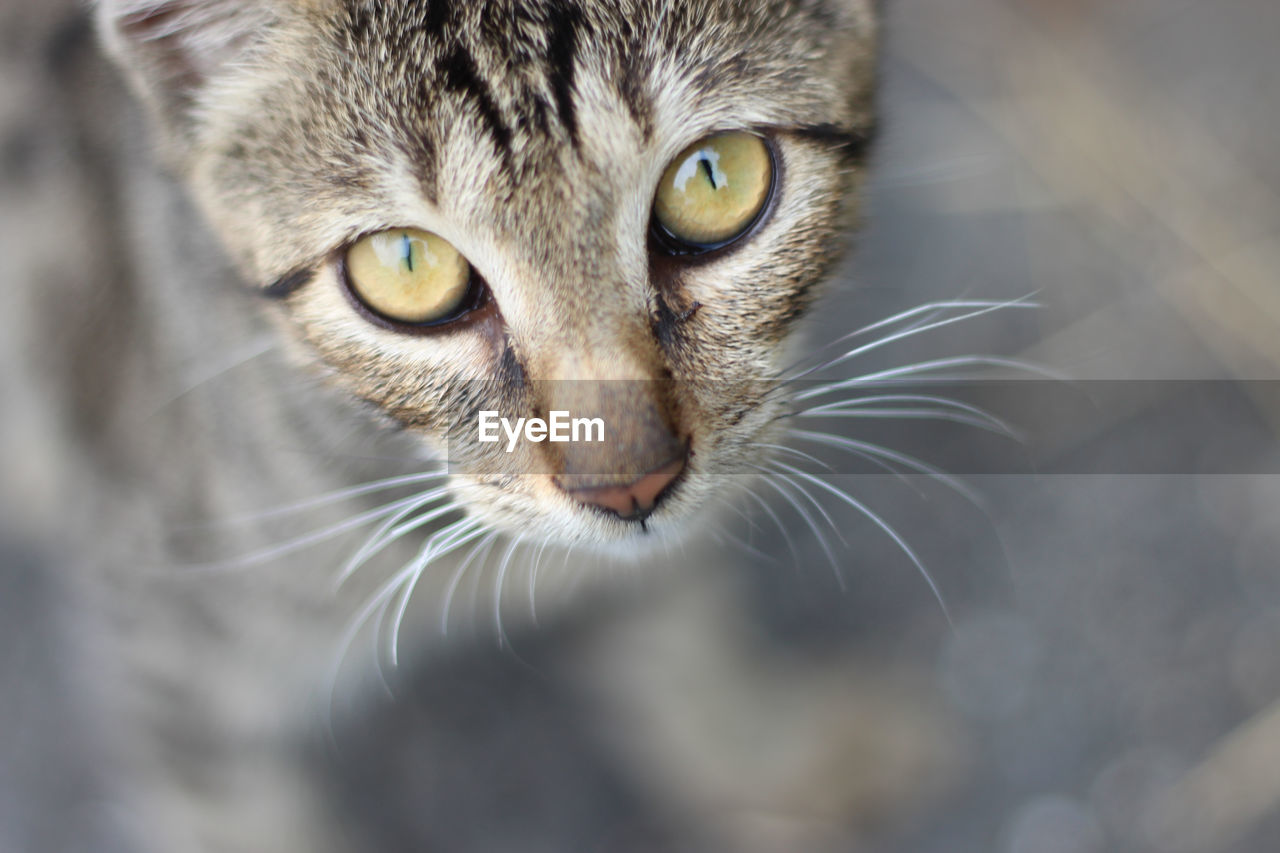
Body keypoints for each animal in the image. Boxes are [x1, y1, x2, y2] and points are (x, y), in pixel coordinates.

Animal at [0, 1, 906, 850]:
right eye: (406, 265)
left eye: (715, 181)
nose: (629, 483)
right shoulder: (170, 633)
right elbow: (223, 802)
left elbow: (667, 614)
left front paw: (761, 753)